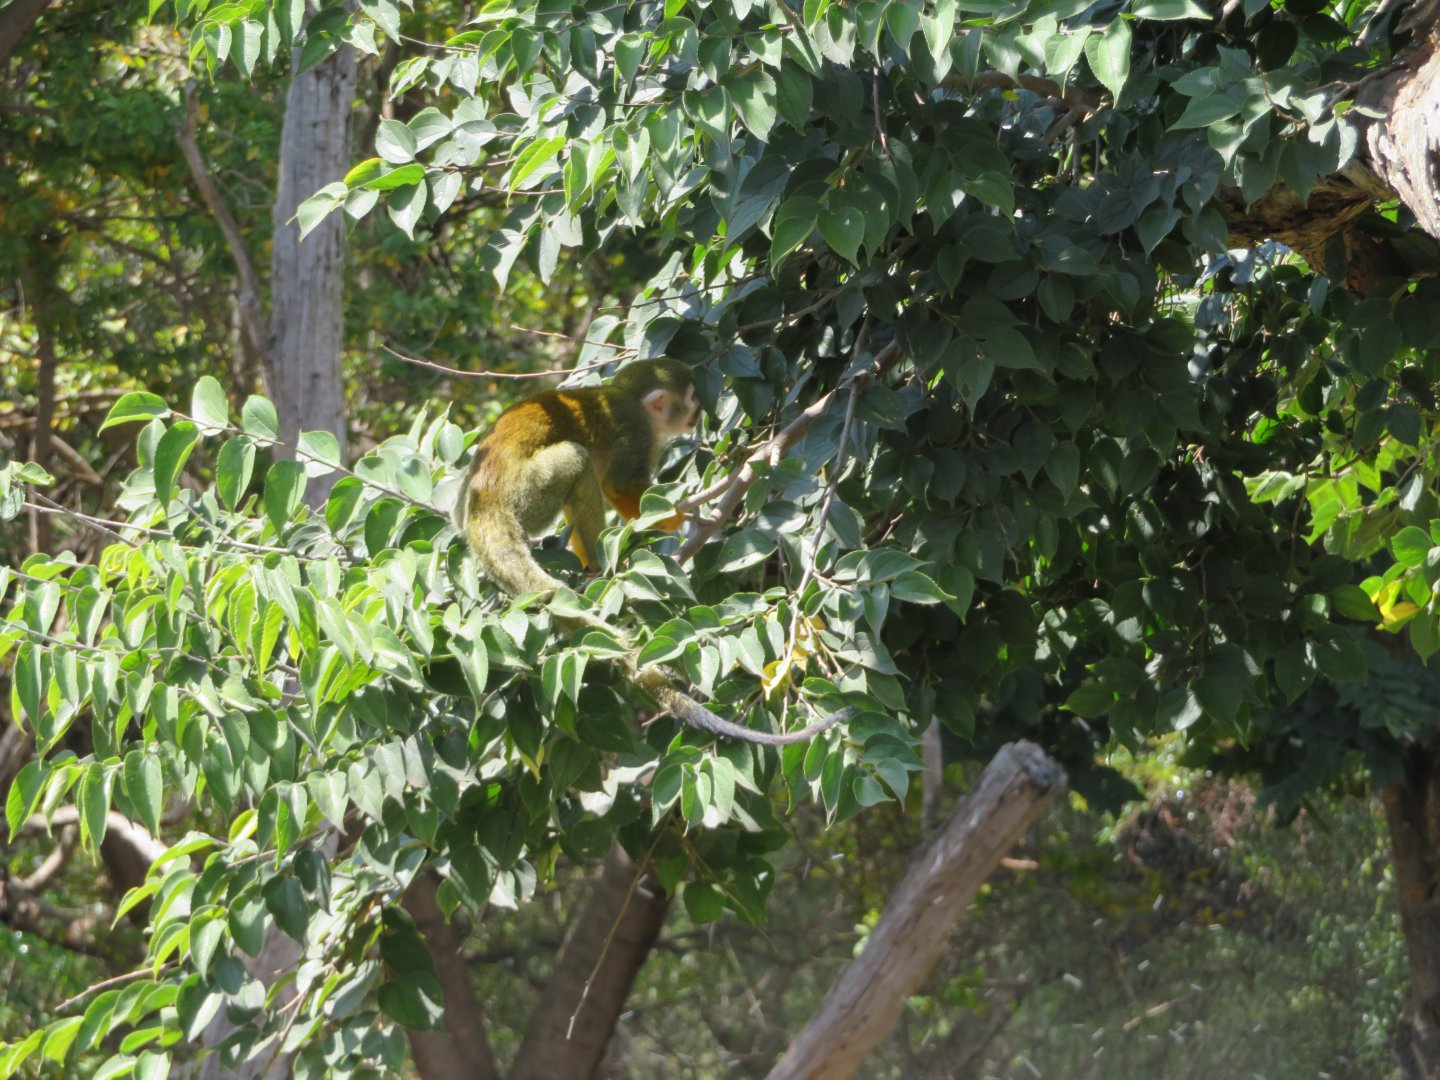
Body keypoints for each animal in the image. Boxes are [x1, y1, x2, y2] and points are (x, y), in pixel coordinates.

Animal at [456, 358, 855, 746]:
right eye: (691, 399)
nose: (699, 413)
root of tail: (483, 504)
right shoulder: (638, 430)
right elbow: (618, 484)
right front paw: (675, 517)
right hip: (529, 492)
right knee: (576, 458)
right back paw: (602, 562)